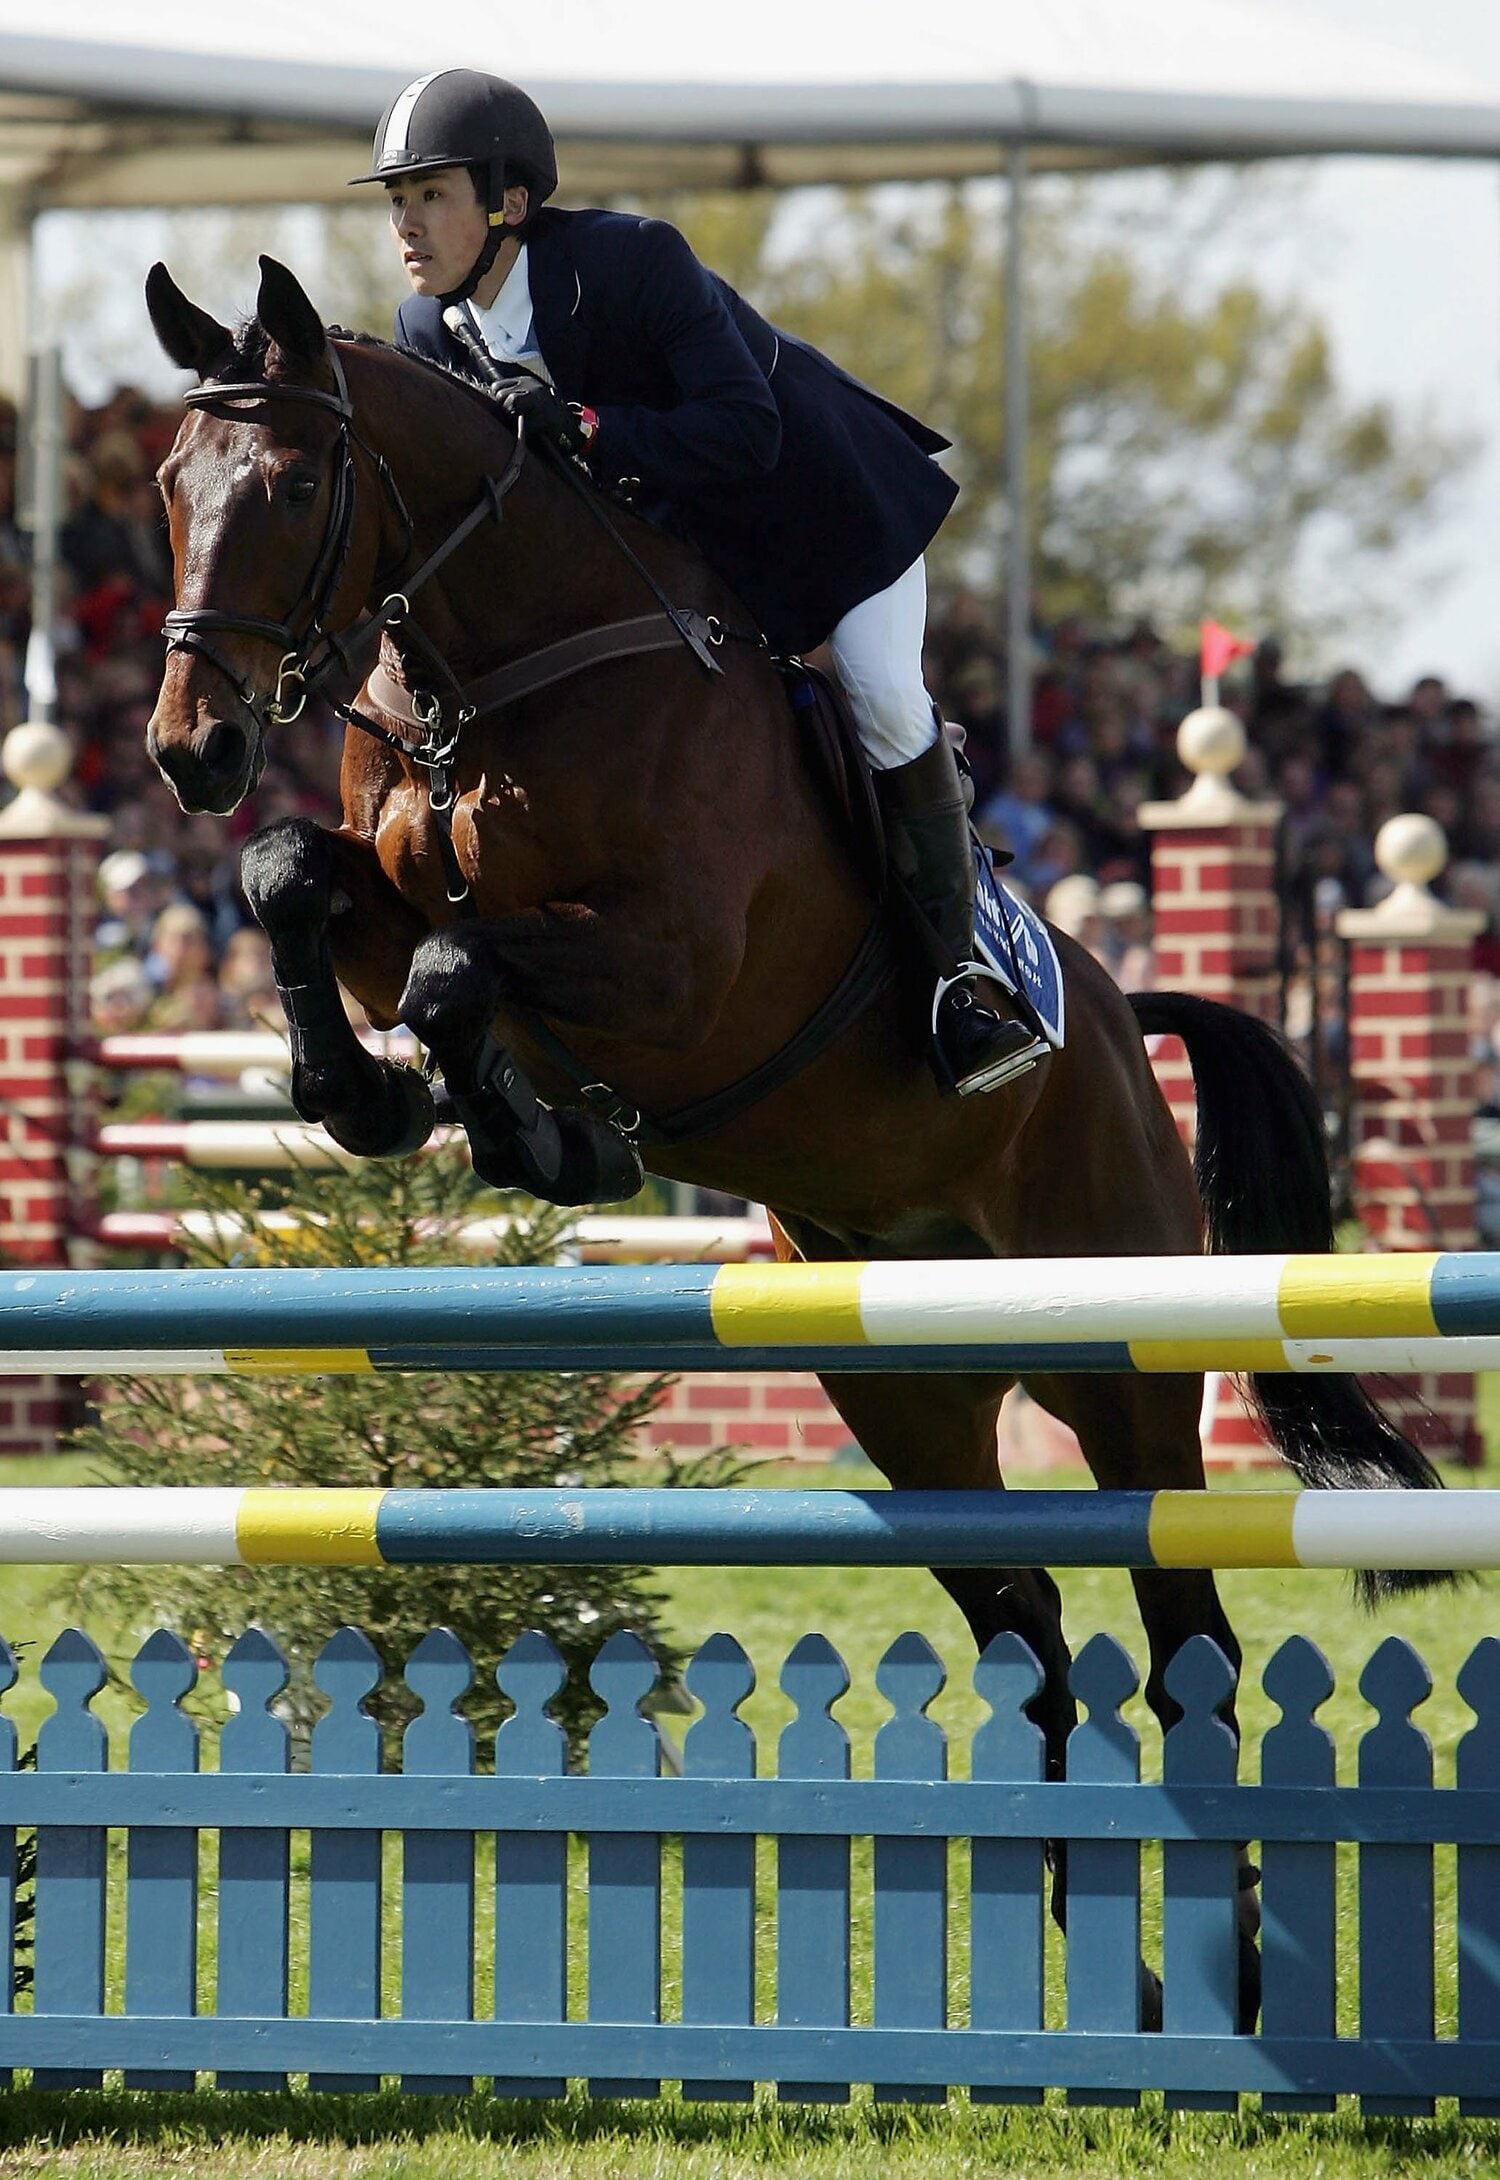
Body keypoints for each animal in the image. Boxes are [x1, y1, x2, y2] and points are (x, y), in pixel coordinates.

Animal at [143, 256, 1448, 2027]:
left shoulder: (680, 966)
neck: (500, 668)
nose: (186, 749)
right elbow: (301, 880)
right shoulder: (383, 885)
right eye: (165, 486)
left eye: (284, 487)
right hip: (903, 1393)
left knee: (1187, 1628)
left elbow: (459, 967)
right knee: (1032, 1631)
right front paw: (381, 1100)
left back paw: (1224, 1958)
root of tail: (1117, 1019)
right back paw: (1087, 1923)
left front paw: (537, 1134)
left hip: (1122, 1362)